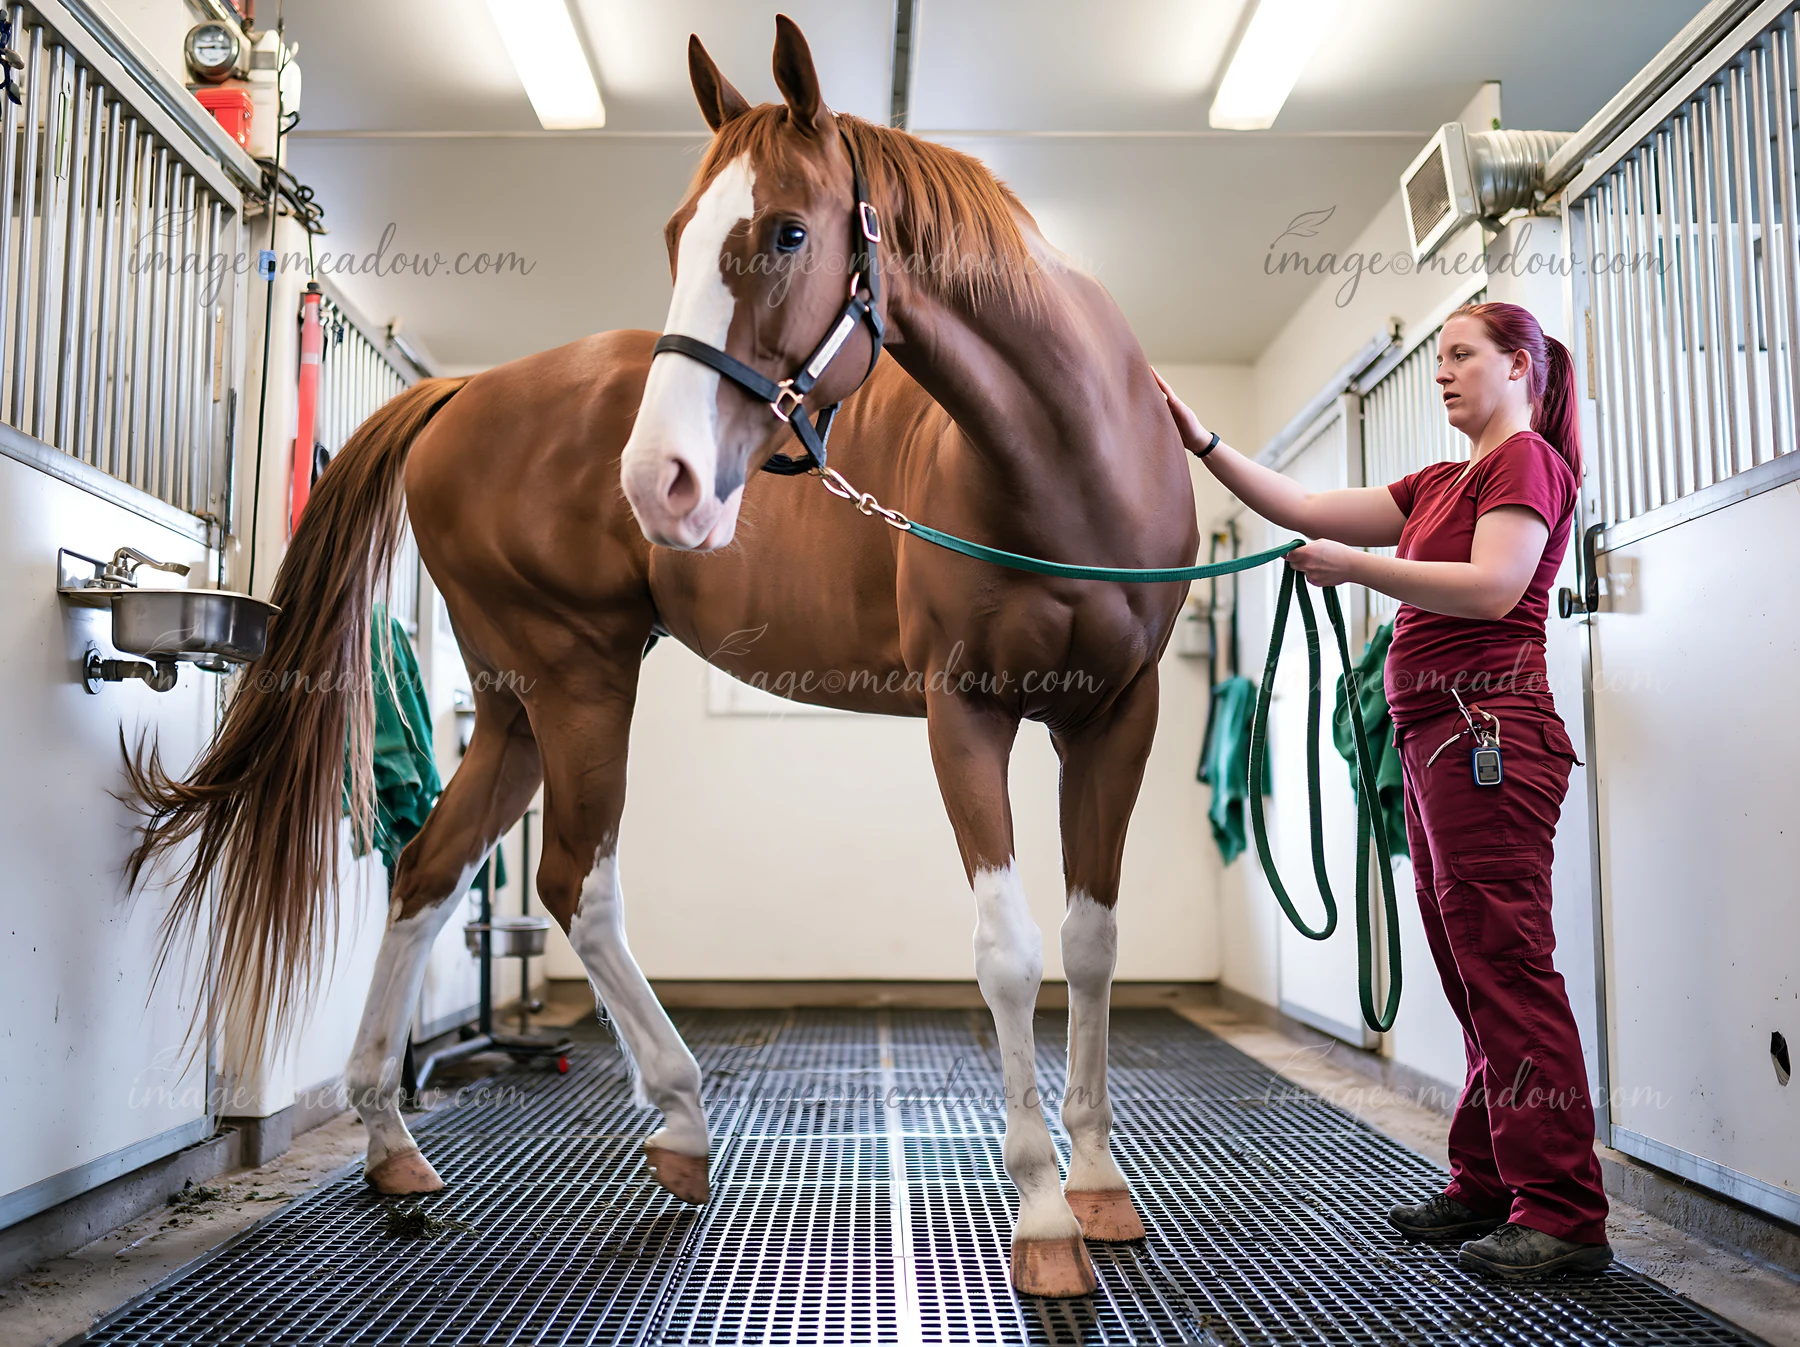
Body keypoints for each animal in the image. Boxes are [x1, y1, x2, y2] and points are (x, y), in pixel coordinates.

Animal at [128, 17, 1200, 1299]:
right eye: (677, 235)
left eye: (787, 231)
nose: (662, 482)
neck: (1066, 463)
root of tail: (461, 391)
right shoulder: (966, 715)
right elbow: (1009, 953)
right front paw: (1040, 1213)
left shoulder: (1117, 716)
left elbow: (1092, 943)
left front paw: (1098, 1184)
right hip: (581, 679)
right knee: (574, 886)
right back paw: (681, 1120)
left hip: (515, 706)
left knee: (430, 868)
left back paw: (390, 1145)